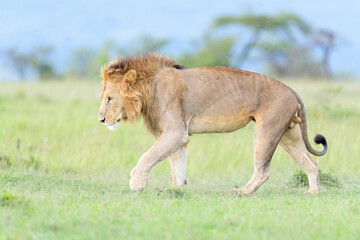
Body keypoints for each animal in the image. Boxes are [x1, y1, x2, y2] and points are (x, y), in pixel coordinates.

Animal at [97, 53, 326, 195]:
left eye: (109, 99)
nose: (100, 119)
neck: (148, 88)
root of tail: (292, 91)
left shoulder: (175, 132)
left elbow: (147, 157)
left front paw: (136, 183)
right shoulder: (178, 135)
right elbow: (177, 167)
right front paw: (175, 191)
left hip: (267, 130)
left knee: (263, 171)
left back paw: (242, 192)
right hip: (288, 134)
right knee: (311, 164)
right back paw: (312, 193)